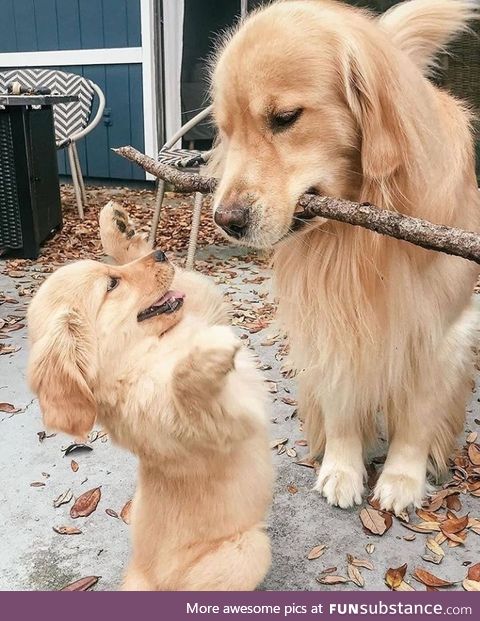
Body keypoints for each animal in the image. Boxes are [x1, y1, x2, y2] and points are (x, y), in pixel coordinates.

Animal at [28, 206, 272, 588]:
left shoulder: (200, 307)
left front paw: (119, 229)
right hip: (247, 550)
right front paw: (204, 354)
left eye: (113, 274)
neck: (141, 355)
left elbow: (185, 284)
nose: (160, 254)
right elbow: (187, 389)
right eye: (112, 285)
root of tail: (139, 574)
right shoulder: (217, 423)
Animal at [211, 1, 480, 512]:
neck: (359, 239)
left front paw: (402, 479)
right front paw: (342, 469)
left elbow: (417, 418)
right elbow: (341, 401)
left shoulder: (442, 330)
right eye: (225, 131)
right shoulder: (329, 319)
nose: (225, 220)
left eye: (285, 117)